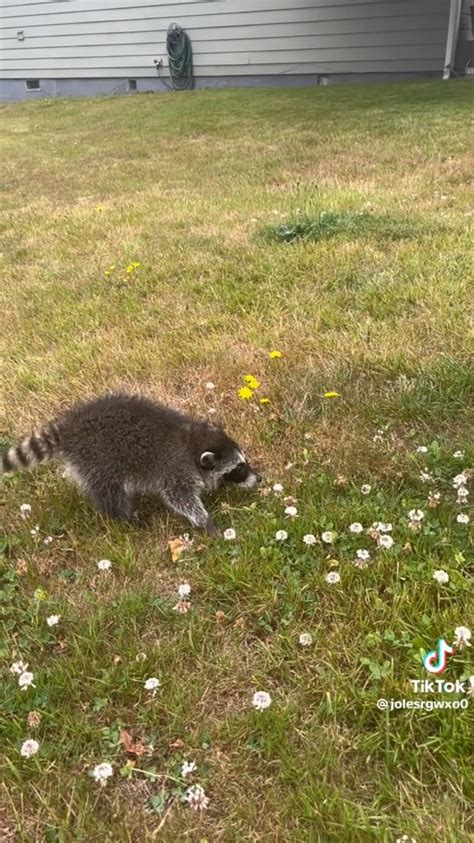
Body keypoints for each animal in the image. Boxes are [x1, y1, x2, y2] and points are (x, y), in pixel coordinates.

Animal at [1, 394, 262, 536]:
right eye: (238, 468)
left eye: (244, 462)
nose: (259, 478)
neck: (193, 443)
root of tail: (69, 426)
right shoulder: (176, 473)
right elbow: (181, 499)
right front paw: (205, 521)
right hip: (96, 459)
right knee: (110, 492)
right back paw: (124, 516)